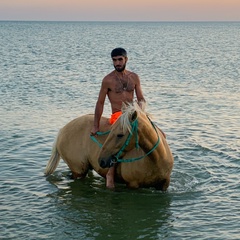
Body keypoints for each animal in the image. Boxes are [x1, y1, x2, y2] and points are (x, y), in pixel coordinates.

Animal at [44, 103, 172, 191]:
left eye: (120, 134)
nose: (102, 160)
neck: (156, 159)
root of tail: (62, 131)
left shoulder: (164, 185)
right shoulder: (132, 185)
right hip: (79, 171)